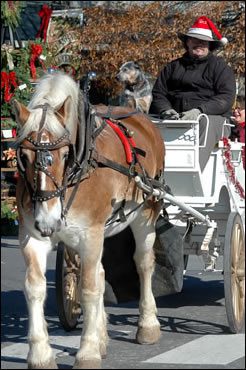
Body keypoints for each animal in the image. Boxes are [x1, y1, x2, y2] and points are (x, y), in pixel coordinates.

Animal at [13, 71, 165, 368]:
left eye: (64, 154)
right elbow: (35, 287)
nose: (47, 221)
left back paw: (148, 325)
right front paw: (40, 354)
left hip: (145, 213)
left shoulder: (90, 234)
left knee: (143, 264)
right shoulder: (31, 236)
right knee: (100, 272)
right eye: (24, 156)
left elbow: (88, 290)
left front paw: (88, 351)